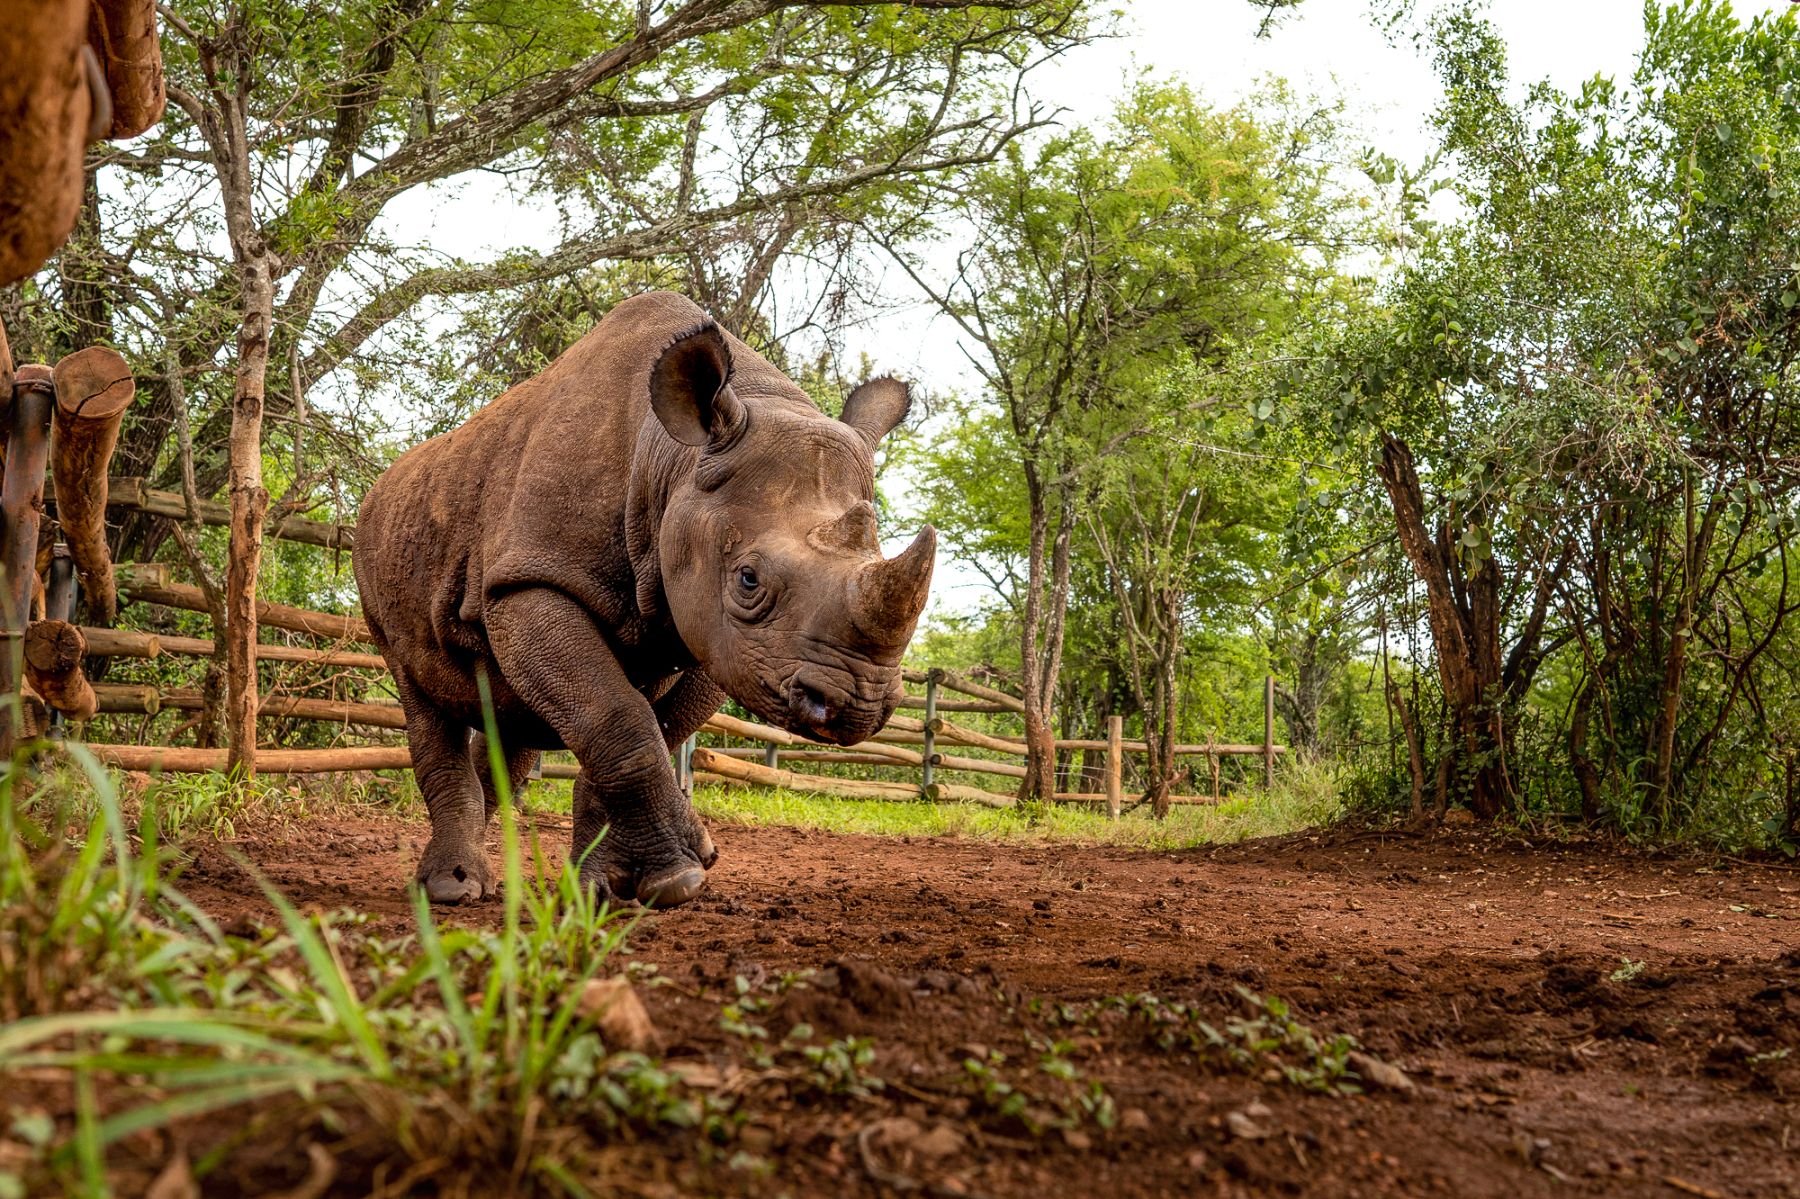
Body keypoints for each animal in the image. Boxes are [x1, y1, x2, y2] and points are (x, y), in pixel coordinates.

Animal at [354, 291, 934, 907]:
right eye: (748, 580)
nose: (857, 706)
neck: (673, 462)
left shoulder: (712, 634)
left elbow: (643, 727)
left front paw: (604, 885)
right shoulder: (531, 581)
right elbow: (618, 717)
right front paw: (676, 878)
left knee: (510, 716)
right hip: (377, 556)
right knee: (419, 694)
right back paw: (451, 889)